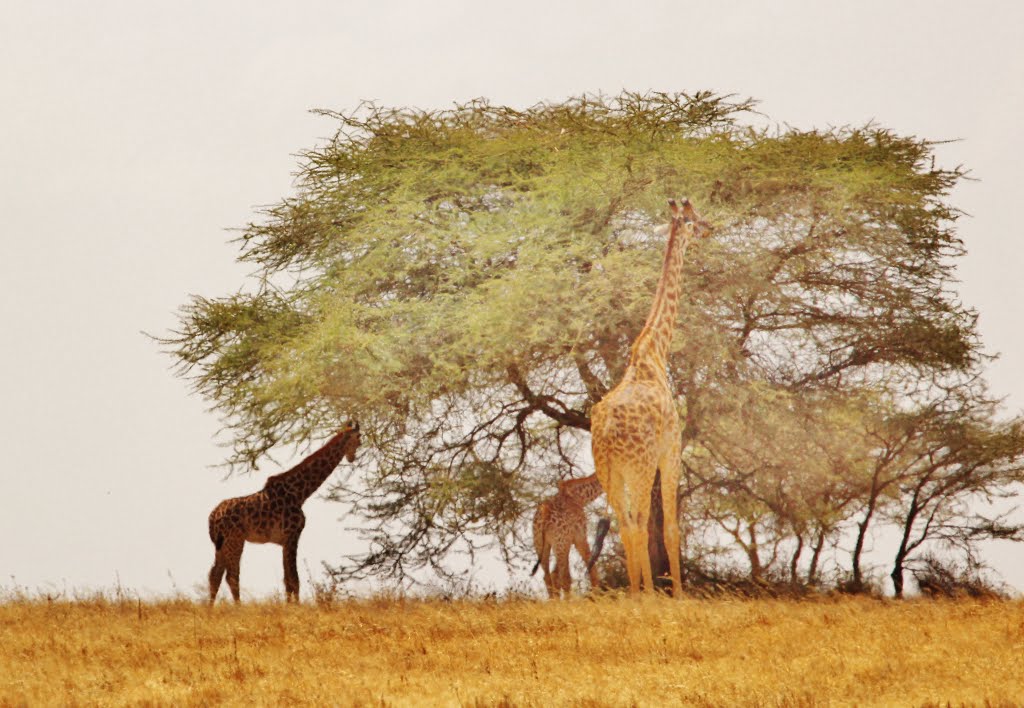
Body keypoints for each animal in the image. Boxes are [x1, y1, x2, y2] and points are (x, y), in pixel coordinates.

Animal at [205, 420, 362, 602]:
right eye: (359, 437)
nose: (352, 457)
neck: (300, 493)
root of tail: (212, 517)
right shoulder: (292, 535)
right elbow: (294, 579)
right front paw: (295, 606)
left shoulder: (285, 540)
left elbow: (287, 579)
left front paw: (289, 604)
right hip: (234, 540)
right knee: (231, 576)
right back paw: (238, 607)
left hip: (221, 543)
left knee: (215, 575)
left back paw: (210, 608)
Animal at [589, 200, 708, 598]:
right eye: (694, 220)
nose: (710, 228)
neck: (655, 348)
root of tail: (607, 432)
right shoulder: (670, 450)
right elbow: (669, 528)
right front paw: (680, 596)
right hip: (637, 467)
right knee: (637, 523)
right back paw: (647, 595)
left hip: (608, 470)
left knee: (625, 525)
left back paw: (635, 594)